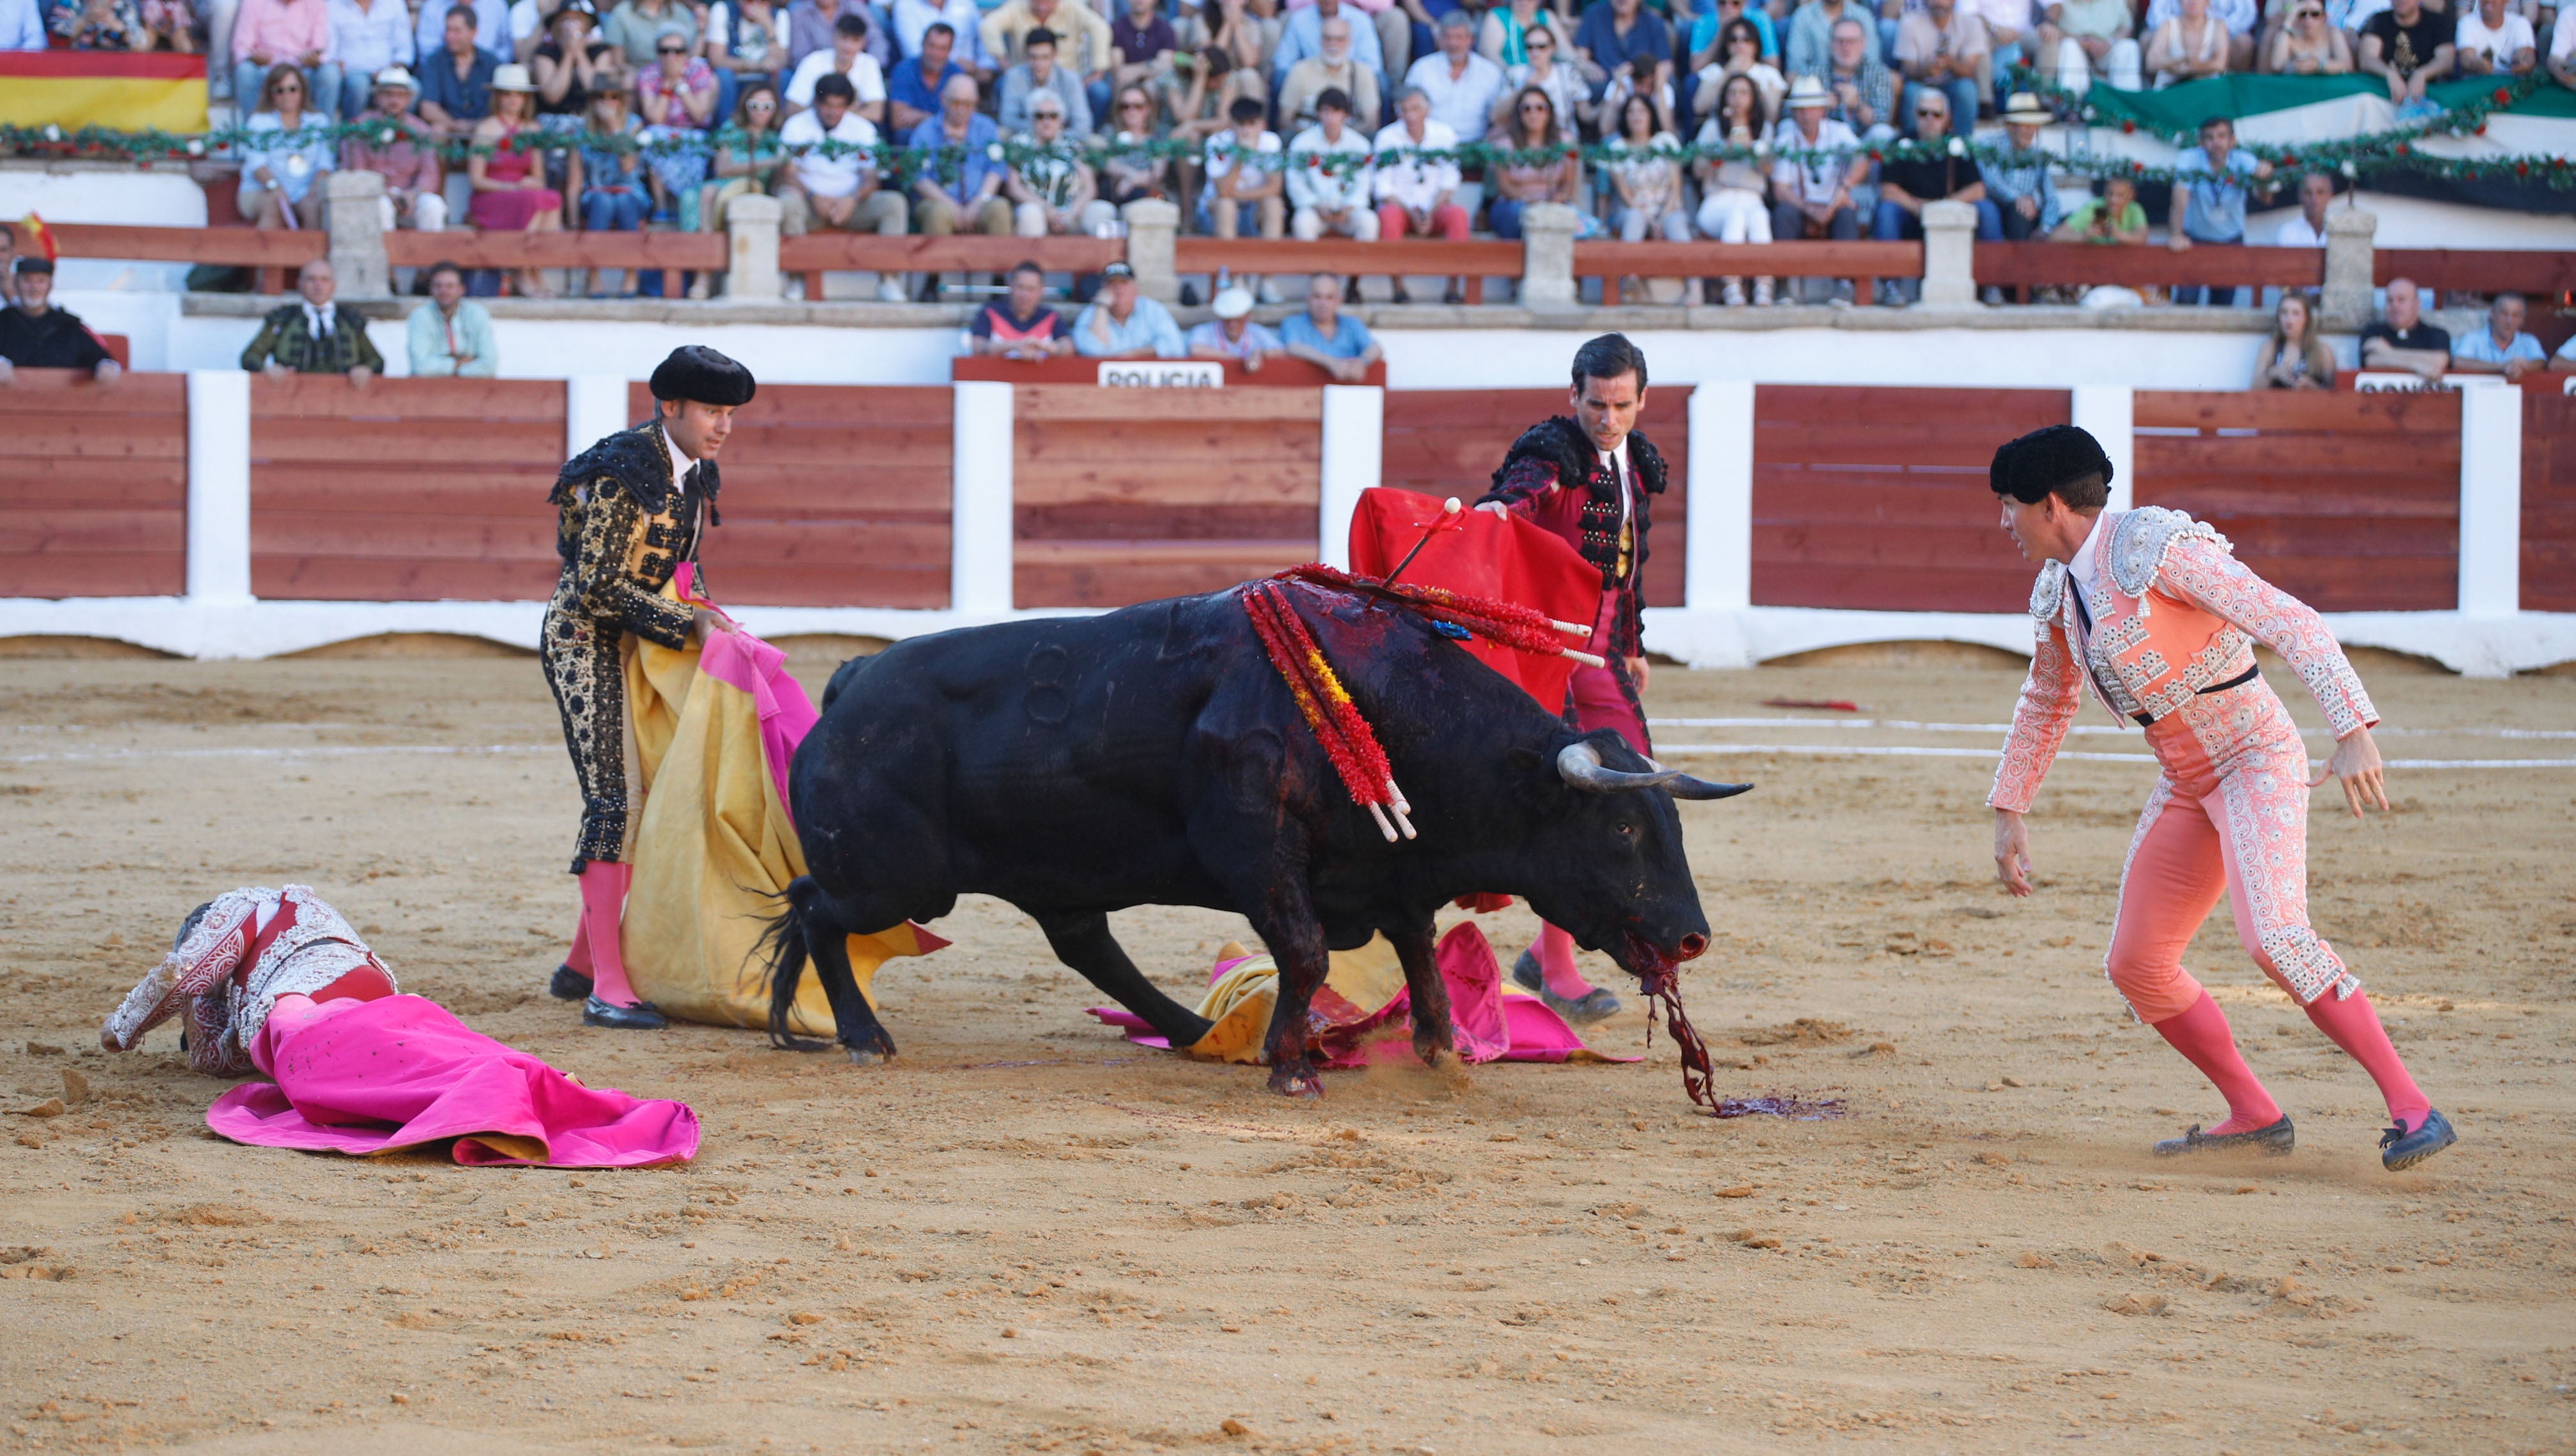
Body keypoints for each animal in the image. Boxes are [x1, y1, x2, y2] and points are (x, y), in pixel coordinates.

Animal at [752, 579, 1741, 1092]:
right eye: (1622, 824)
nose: (1692, 935)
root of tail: (853, 677)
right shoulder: (1257, 851)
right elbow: (1305, 950)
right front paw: (1294, 1067)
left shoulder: (1390, 870)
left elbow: (1418, 948)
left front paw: (1436, 1050)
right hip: (897, 878)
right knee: (817, 909)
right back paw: (859, 1033)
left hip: (1044, 876)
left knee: (1086, 947)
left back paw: (1195, 1029)